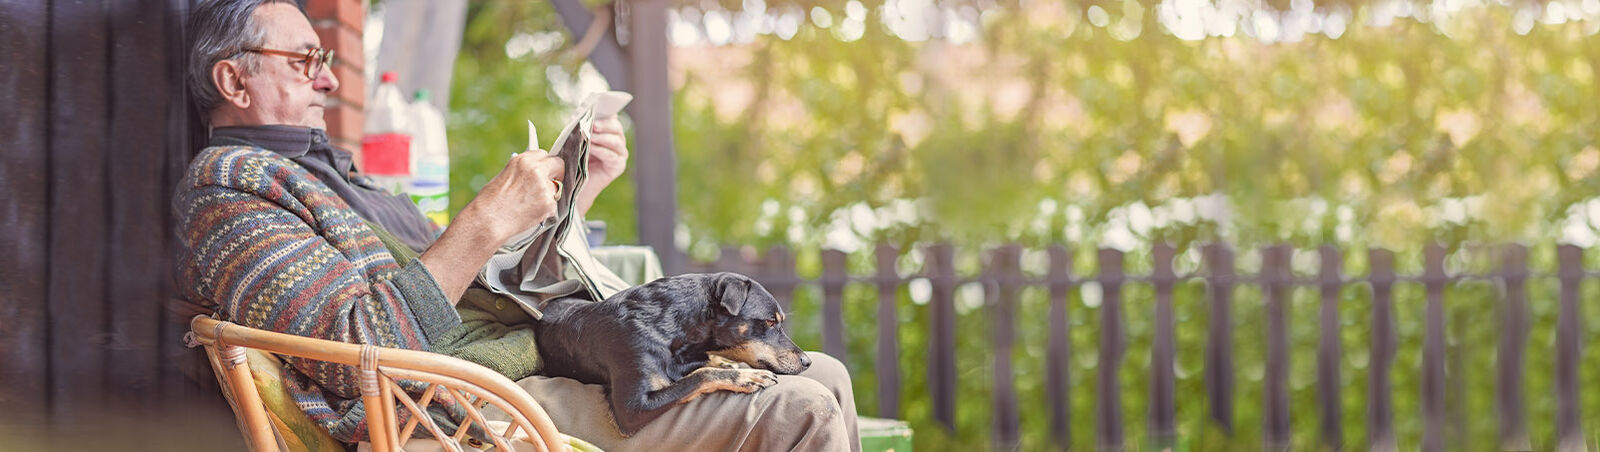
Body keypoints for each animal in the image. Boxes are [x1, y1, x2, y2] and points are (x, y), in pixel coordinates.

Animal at [537, 272, 812, 432]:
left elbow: (699, 369)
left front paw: (725, 365)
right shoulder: (632, 408)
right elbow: (699, 377)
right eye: (770, 322)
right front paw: (745, 377)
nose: (807, 361)